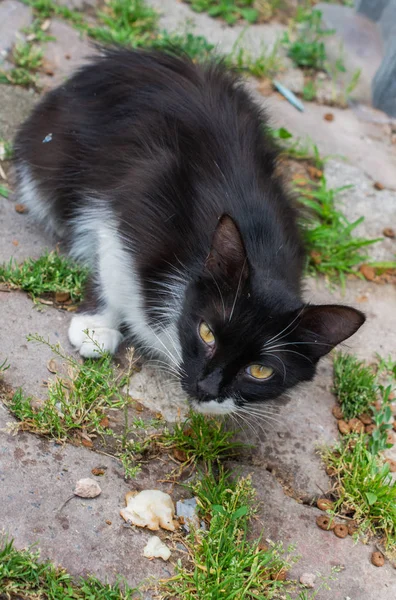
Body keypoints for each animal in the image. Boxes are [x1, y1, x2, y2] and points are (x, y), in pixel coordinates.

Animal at [13, 47, 366, 414]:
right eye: (206, 332)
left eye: (260, 371)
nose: (206, 388)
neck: (262, 249)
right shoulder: (142, 194)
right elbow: (110, 250)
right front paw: (96, 326)